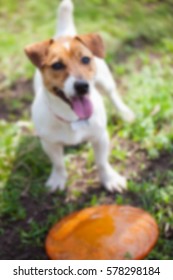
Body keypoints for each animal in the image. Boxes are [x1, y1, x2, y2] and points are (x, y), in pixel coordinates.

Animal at [24, 0, 135, 192]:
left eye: (85, 60)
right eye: (57, 65)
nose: (82, 86)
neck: (73, 119)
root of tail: (64, 34)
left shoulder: (100, 137)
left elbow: (102, 162)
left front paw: (109, 179)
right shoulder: (49, 143)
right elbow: (58, 163)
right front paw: (58, 179)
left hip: (105, 82)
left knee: (113, 95)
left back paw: (125, 113)